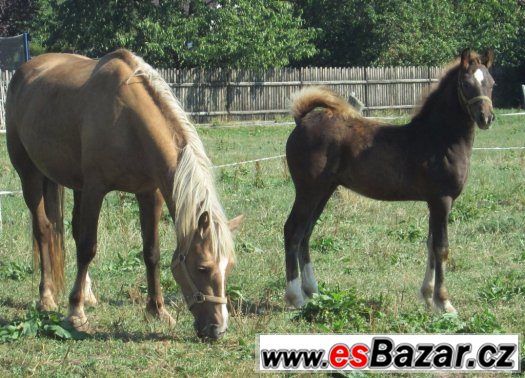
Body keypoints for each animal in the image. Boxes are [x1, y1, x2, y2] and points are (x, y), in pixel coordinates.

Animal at [5, 48, 243, 340]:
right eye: (202, 267)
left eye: (229, 267)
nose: (217, 329)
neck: (127, 120)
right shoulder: (95, 189)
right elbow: (88, 248)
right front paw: (76, 314)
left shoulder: (149, 193)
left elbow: (151, 252)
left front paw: (157, 310)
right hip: (30, 175)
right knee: (43, 230)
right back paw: (47, 297)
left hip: (73, 185)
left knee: (72, 230)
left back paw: (87, 293)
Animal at [284, 48, 494, 314]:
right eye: (466, 84)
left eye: (492, 83)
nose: (486, 117)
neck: (438, 138)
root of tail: (301, 120)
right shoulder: (442, 199)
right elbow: (441, 248)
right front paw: (444, 303)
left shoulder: (434, 202)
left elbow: (430, 244)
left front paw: (428, 297)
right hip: (308, 191)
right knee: (292, 231)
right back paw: (295, 298)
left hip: (324, 191)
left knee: (306, 233)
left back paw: (313, 291)